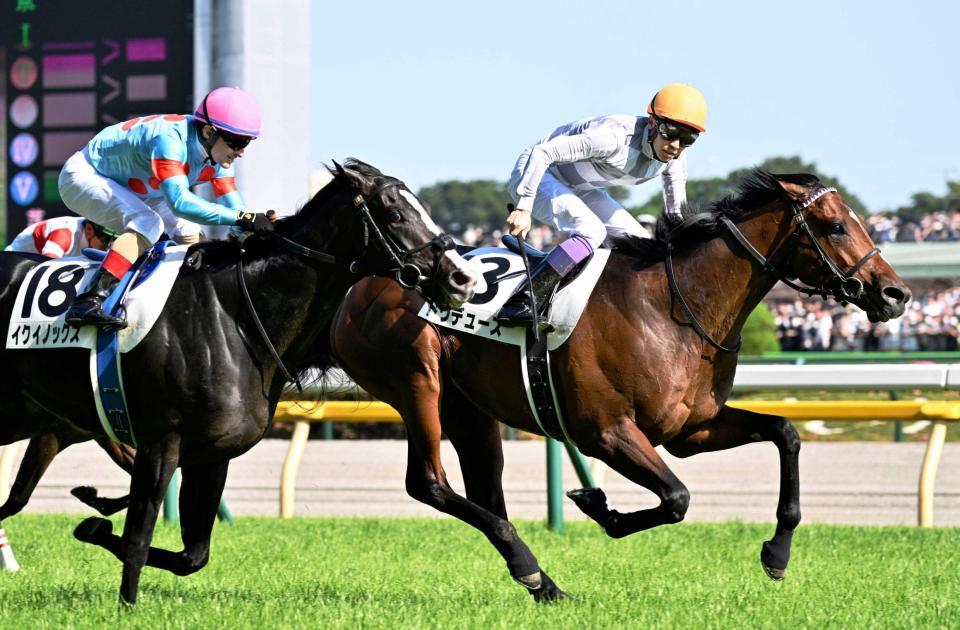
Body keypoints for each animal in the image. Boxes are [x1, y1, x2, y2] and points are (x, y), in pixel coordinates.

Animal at [0, 159, 478, 602]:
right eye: (394, 213)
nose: (463, 277)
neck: (234, 317)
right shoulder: (162, 440)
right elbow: (138, 537)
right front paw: (124, 603)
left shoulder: (213, 453)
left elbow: (193, 555)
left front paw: (93, 525)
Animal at [327, 170, 911, 601]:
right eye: (834, 227)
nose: (896, 294)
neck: (675, 308)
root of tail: (361, 284)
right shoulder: (606, 431)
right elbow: (676, 497)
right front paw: (599, 507)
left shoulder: (691, 430)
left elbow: (786, 433)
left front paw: (777, 554)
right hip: (416, 382)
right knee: (428, 481)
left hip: (470, 408)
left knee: (486, 493)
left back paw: (540, 581)